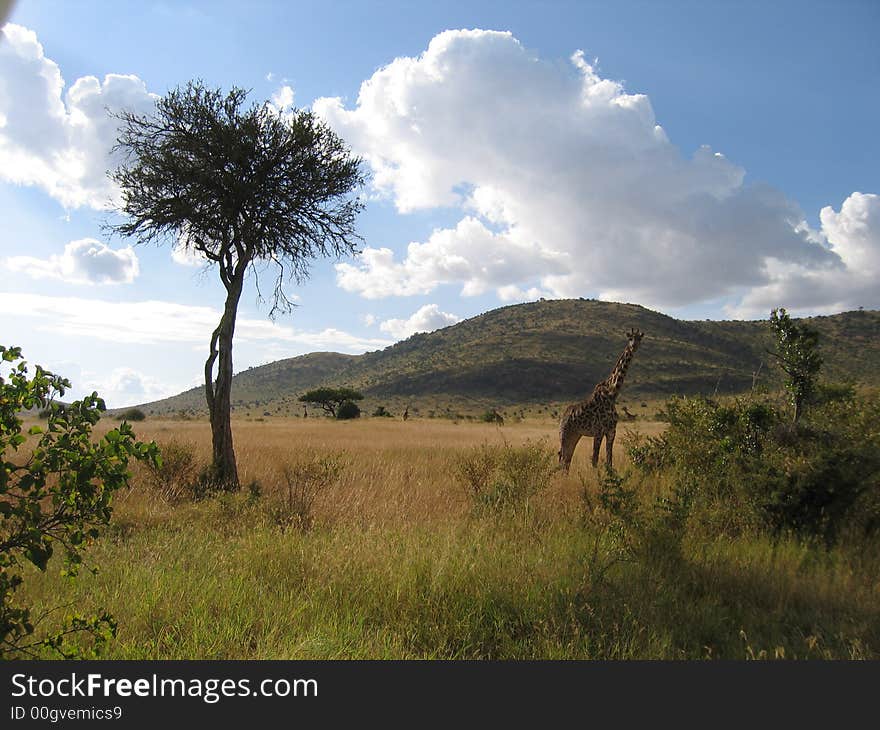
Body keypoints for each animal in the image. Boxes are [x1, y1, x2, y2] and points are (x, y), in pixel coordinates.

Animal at [560, 328, 644, 472]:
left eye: (639, 338)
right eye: (630, 338)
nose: (634, 346)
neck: (612, 394)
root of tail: (563, 417)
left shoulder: (611, 432)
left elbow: (609, 461)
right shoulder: (598, 431)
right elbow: (595, 460)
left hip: (575, 435)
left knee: (567, 461)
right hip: (565, 434)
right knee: (562, 459)